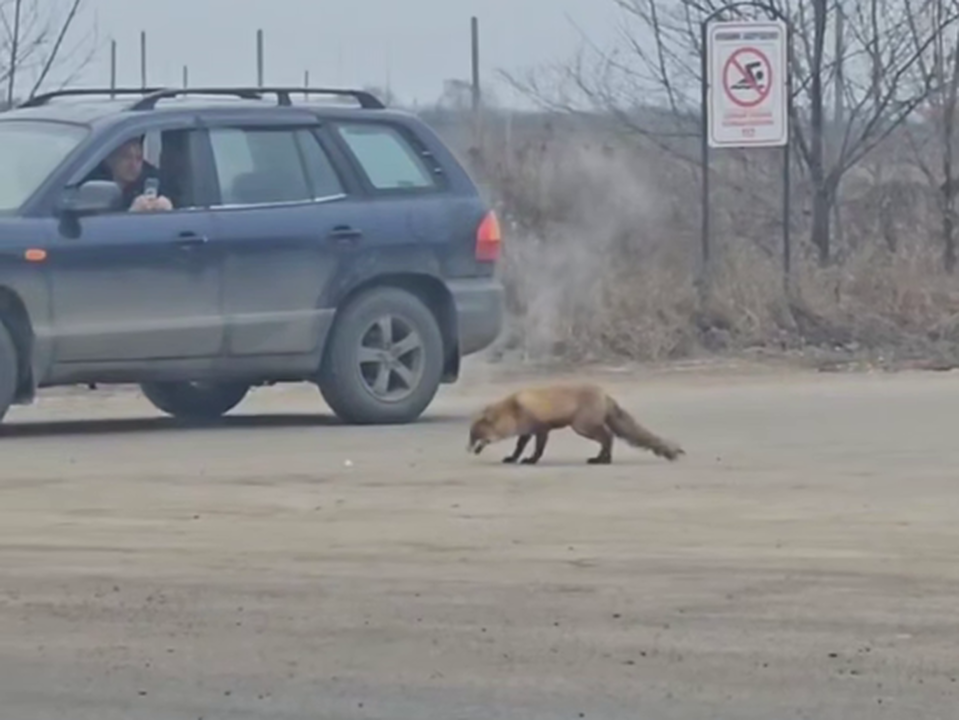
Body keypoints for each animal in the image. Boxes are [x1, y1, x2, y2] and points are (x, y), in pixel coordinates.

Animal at [466, 382, 684, 466]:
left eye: (474, 436)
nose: (467, 450)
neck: (513, 410)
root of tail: (605, 394)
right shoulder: (528, 431)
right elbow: (519, 447)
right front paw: (513, 458)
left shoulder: (540, 429)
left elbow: (537, 449)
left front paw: (531, 460)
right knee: (608, 438)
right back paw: (604, 458)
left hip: (582, 427)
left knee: (608, 437)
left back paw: (602, 460)